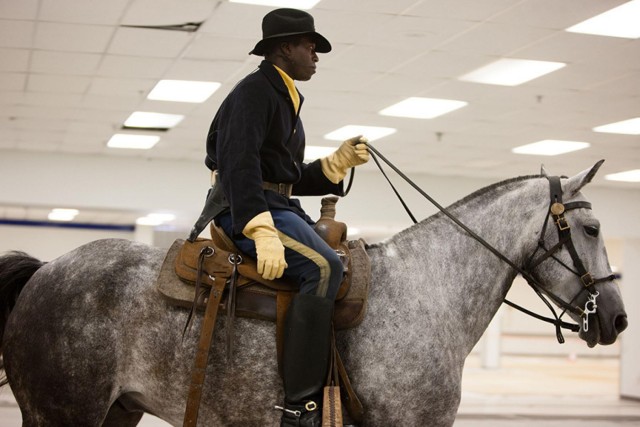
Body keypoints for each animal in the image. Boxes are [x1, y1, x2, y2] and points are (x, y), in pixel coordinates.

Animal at [0, 162, 628, 426]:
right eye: (592, 229)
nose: (618, 320)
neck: (427, 290)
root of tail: (47, 271)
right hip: (63, 416)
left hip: (117, 413)